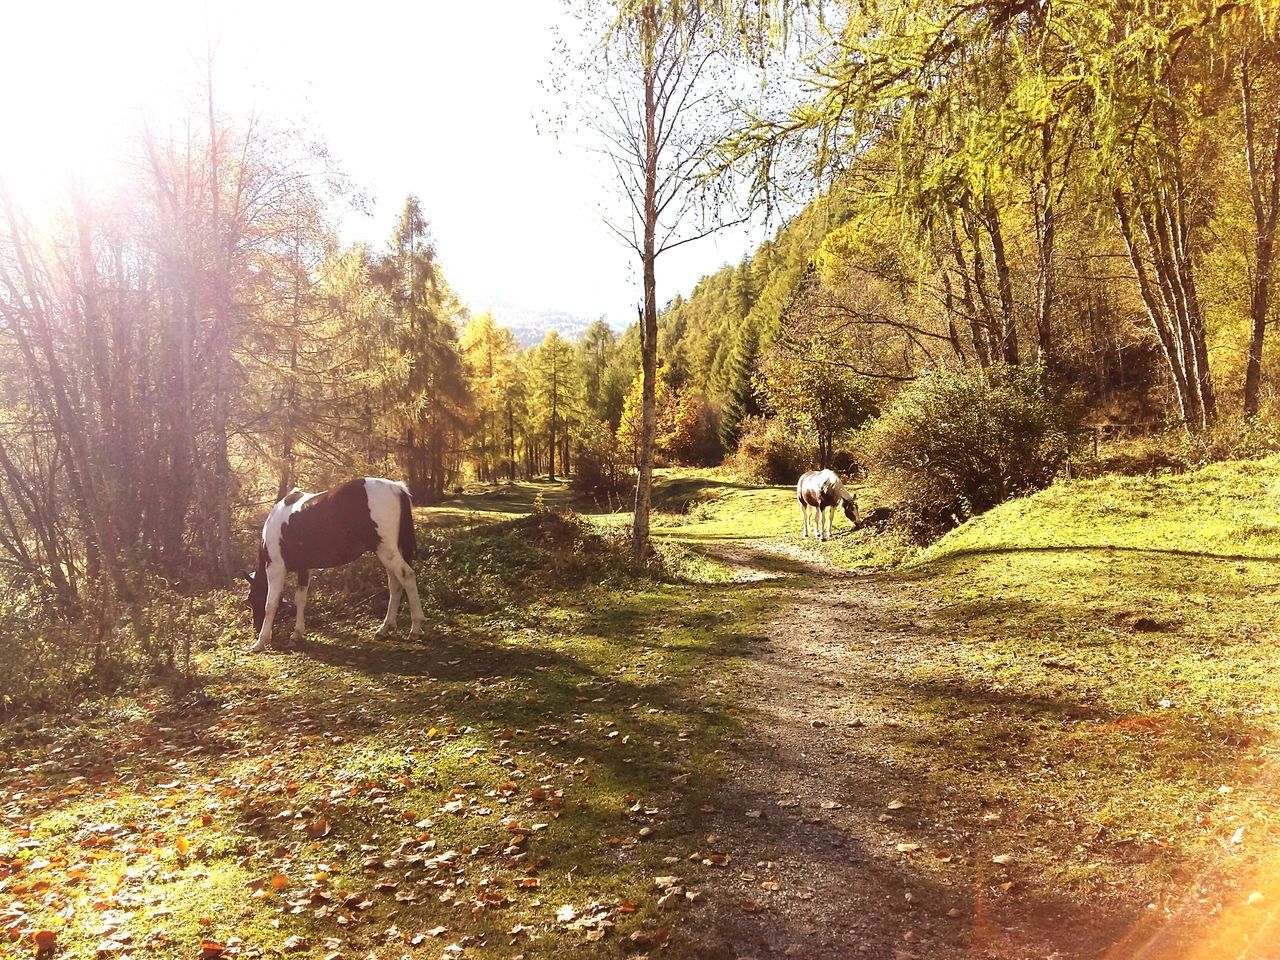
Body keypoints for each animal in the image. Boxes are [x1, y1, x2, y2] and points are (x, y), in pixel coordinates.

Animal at [247, 481, 427, 655]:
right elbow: (300, 600)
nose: (255, 627)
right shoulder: (304, 569)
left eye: (252, 599)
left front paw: (261, 641)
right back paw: (385, 628)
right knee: (395, 584)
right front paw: (297, 633)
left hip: (386, 551)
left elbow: (270, 604)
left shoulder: (275, 568)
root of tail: (396, 487)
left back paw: (415, 628)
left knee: (406, 576)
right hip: (388, 552)